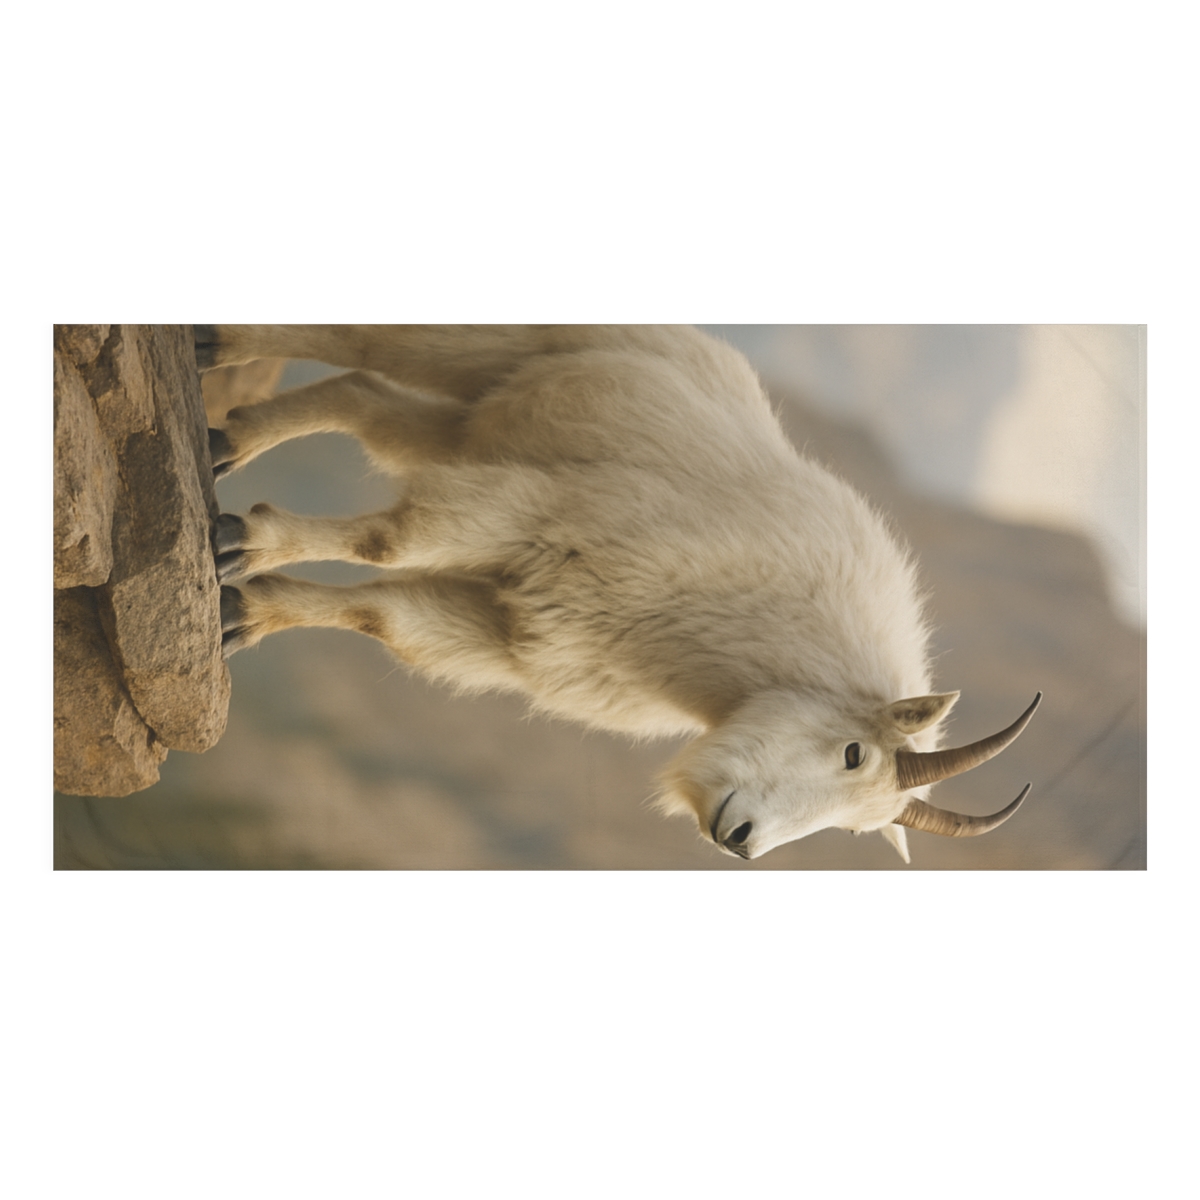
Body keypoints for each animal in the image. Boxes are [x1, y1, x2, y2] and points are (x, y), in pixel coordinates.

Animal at [196, 324, 1040, 863]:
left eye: (858, 830)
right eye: (853, 753)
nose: (740, 841)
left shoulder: (509, 633)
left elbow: (381, 614)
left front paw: (245, 609)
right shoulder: (532, 514)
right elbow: (387, 543)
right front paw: (243, 543)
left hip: (481, 419)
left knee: (364, 392)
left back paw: (226, 439)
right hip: (498, 352)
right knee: (365, 343)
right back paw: (215, 343)